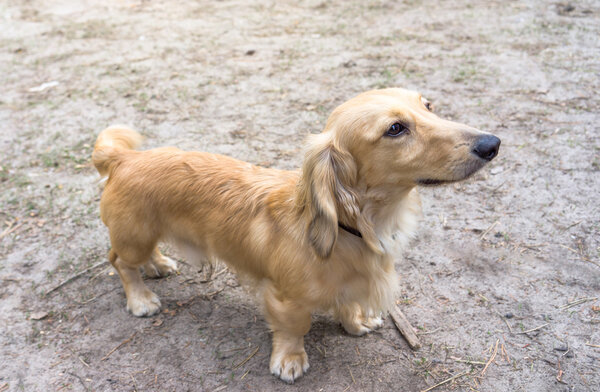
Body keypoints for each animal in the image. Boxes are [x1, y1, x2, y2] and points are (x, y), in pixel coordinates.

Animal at [91, 87, 500, 382]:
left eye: (428, 106)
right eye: (395, 129)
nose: (491, 144)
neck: (352, 229)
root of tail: (125, 159)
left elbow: (347, 303)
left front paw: (356, 322)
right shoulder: (285, 299)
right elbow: (294, 328)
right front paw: (289, 360)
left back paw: (160, 265)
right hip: (134, 237)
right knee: (120, 263)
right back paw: (141, 299)